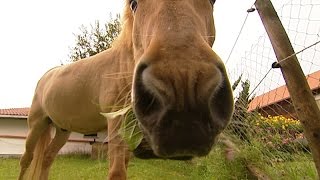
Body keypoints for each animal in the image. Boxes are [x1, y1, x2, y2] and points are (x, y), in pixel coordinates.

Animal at [18, 0, 232, 179]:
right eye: (134, 4)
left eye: (212, 1)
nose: (183, 86)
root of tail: (45, 77)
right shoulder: (115, 121)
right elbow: (117, 172)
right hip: (36, 126)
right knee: (26, 159)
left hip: (62, 130)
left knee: (47, 157)